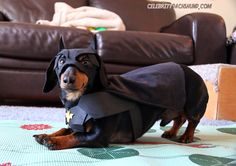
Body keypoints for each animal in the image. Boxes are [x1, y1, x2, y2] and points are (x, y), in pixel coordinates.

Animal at [33, 39, 208, 150]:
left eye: (86, 62)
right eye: (61, 62)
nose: (68, 80)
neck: (79, 100)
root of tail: (194, 72)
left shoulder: (97, 136)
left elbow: (76, 136)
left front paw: (52, 141)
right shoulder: (77, 123)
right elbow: (65, 130)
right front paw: (47, 135)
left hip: (193, 106)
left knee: (192, 121)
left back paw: (187, 136)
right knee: (179, 119)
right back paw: (171, 132)